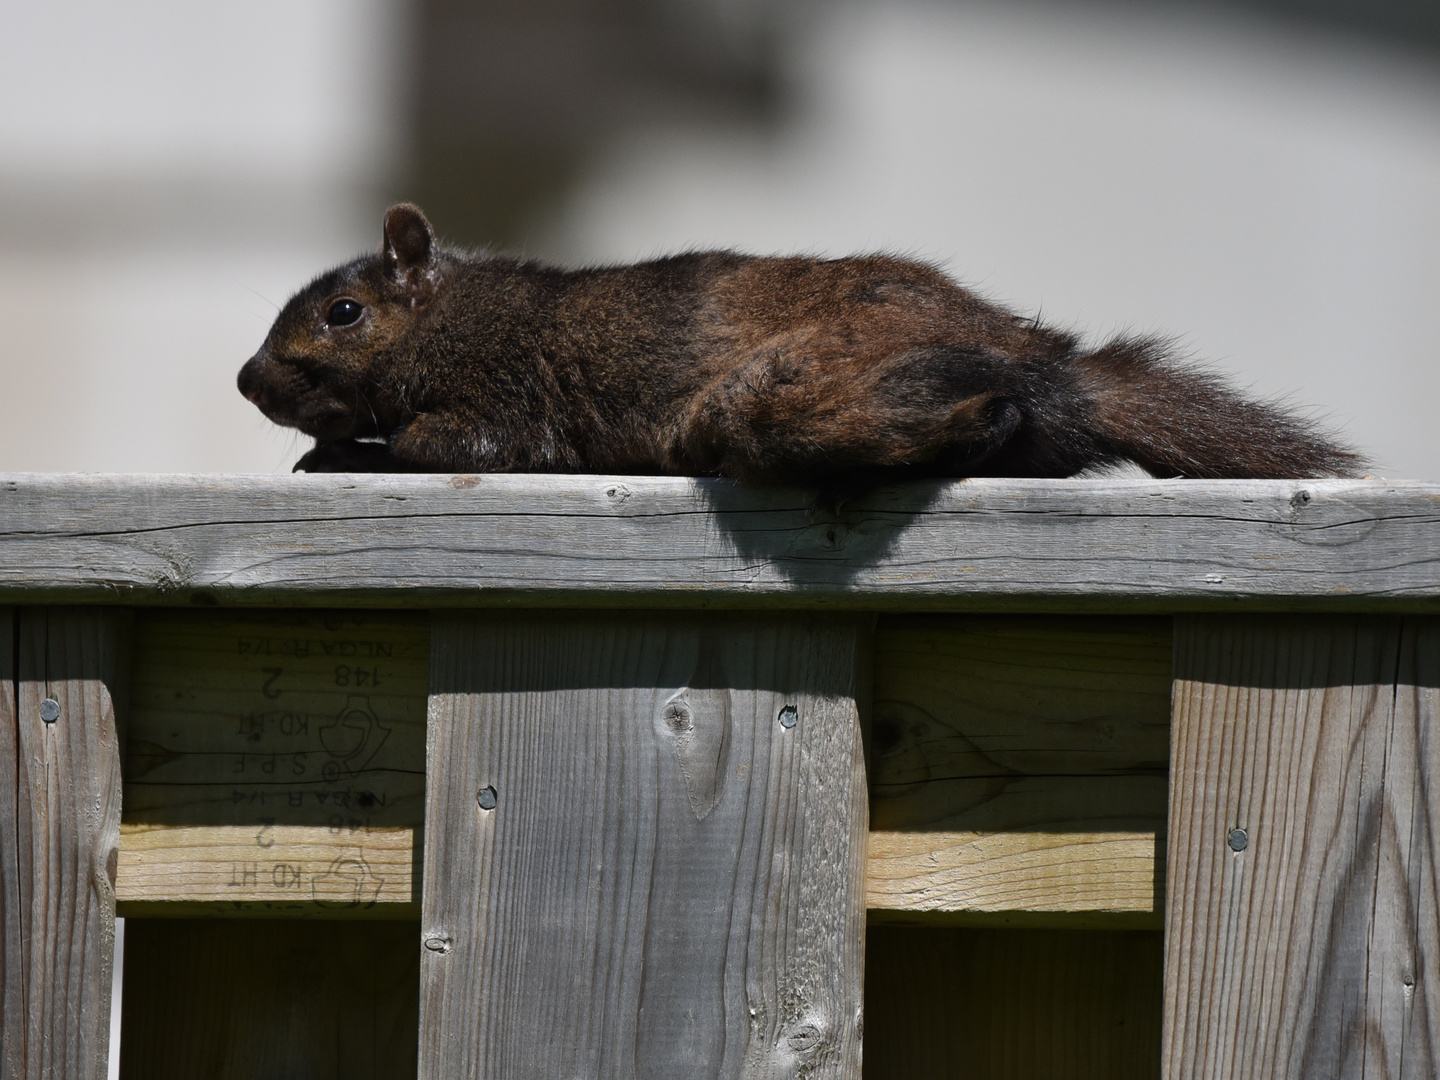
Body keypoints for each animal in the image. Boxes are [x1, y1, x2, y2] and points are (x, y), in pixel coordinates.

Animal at [236, 204, 1359, 506]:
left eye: (342, 312)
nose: (248, 381)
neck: (454, 314)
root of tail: (1055, 369)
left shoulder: (505, 402)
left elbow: (439, 443)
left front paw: (344, 452)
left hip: (775, 394)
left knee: (982, 412)